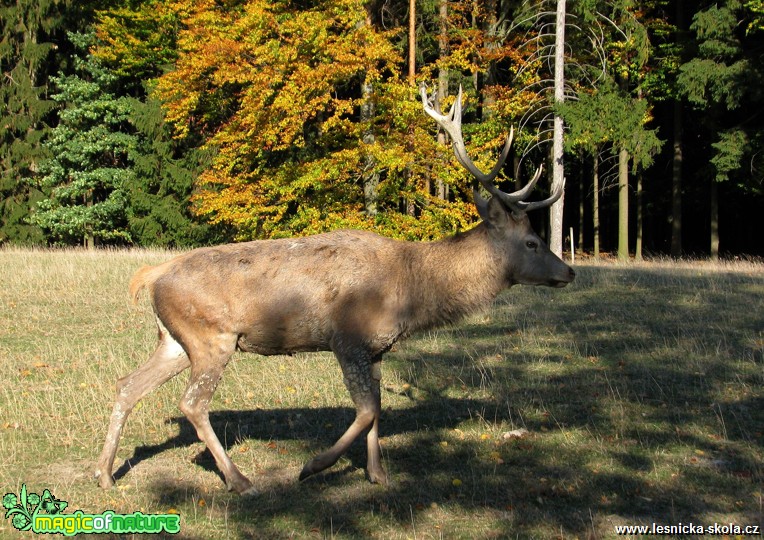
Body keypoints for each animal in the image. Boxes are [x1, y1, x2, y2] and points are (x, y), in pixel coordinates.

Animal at [94, 84, 572, 494]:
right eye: (531, 242)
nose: (568, 272)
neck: (410, 293)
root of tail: (154, 273)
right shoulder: (348, 338)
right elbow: (367, 410)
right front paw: (313, 465)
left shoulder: (378, 348)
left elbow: (377, 408)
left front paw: (378, 474)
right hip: (212, 337)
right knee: (192, 404)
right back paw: (239, 479)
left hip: (175, 340)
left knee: (127, 385)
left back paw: (105, 474)